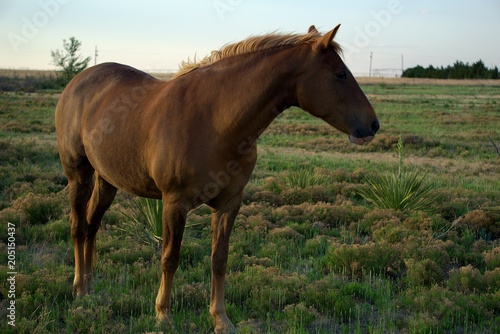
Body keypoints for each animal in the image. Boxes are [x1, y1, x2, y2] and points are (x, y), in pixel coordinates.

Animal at [55, 24, 378, 332]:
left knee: (92, 225)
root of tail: (78, 81)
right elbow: (170, 258)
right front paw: (163, 316)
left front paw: (220, 319)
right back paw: (79, 289)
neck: (216, 121)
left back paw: (90, 287)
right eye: (340, 74)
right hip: (79, 175)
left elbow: (219, 260)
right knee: (78, 225)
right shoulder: (174, 203)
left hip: (107, 180)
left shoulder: (229, 203)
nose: (373, 125)